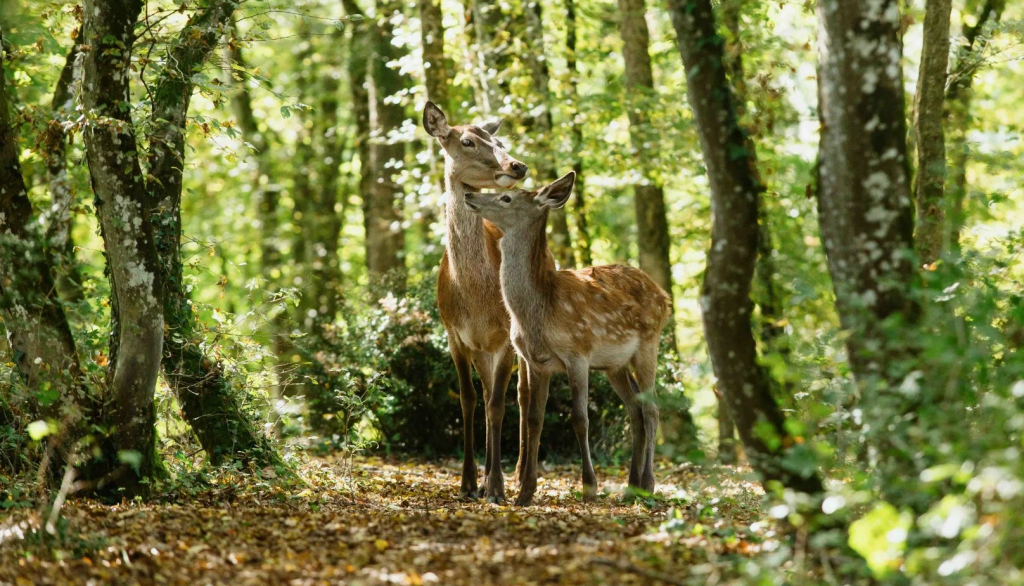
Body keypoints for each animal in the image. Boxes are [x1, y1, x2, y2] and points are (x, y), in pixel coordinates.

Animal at [421, 99, 536, 499]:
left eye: (499, 140)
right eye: (468, 141)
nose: (517, 165)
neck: (473, 297)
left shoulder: (504, 337)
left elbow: (500, 404)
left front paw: (497, 487)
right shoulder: (454, 334)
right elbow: (469, 399)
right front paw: (469, 482)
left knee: (522, 394)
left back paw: (519, 475)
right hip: (481, 350)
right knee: (486, 395)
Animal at [466, 172, 671, 506]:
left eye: (507, 198)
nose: (469, 195)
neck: (540, 311)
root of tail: (664, 296)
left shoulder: (578, 353)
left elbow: (579, 418)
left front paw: (589, 487)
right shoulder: (536, 362)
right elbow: (534, 418)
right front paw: (525, 492)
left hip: (649, 343)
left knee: (652, 409)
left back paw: (649, 484)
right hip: (615, 365)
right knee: (635, 410)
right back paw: (631, 487)